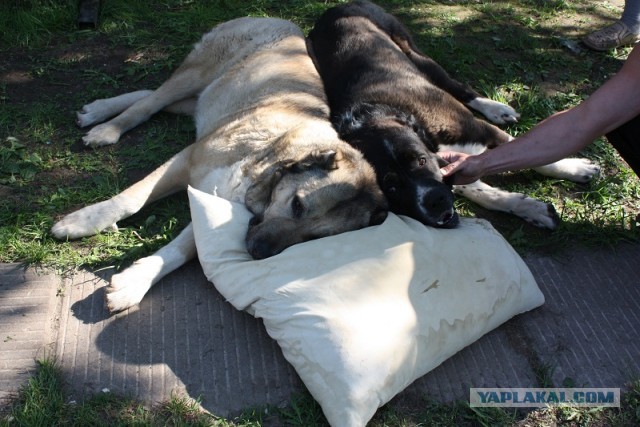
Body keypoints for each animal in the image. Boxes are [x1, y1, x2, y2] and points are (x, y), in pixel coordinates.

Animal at [52, 17, 384, 314]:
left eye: (315, 238)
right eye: (298, 205)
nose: (259, 253)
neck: (265, 166)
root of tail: (281, 21)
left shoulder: (207, 205)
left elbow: (184, 248)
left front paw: (135, 283)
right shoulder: (186, 159)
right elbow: (131, 200)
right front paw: (82, 221)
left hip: (209, 96)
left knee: (157, 98)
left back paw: (97, 109)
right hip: (197, 71)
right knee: (150, 102)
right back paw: (106, 126)